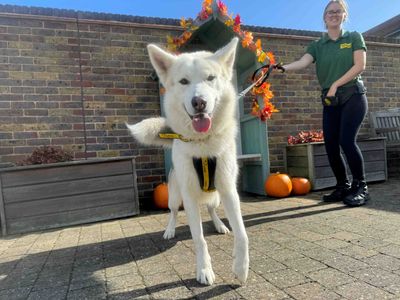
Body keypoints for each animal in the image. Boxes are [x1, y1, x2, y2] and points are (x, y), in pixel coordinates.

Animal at [126, 38, 248, 286]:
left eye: (210, 78)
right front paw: (204, 270)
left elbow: (242, 233)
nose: (199, 102)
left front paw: (241, 269)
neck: (203, 144)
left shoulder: (229, 191)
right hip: (174, 195)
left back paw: (220, 225)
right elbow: (199, 238)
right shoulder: (189, 197)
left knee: (211, 209)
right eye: (184, 81)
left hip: (216, 196)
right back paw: (170, 230)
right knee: (173, 212)